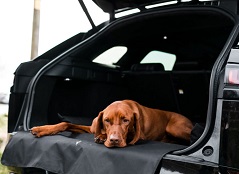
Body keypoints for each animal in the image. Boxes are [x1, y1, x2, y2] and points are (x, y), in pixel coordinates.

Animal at [30, 100, 193, 147]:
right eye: (106, 120)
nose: (114, 140)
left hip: (175, 128)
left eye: (126, 120)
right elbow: (65, 123)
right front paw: (41, 129)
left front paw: (102, 137)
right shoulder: (92, 128)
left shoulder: (139, 136)